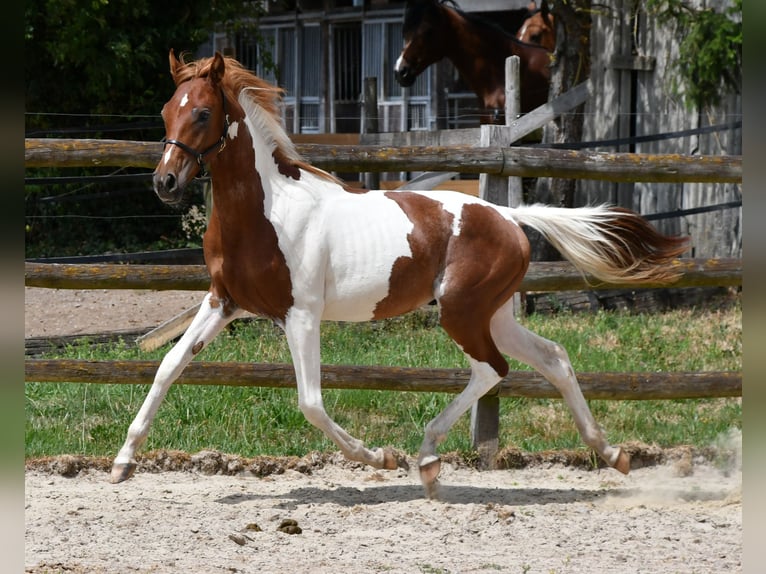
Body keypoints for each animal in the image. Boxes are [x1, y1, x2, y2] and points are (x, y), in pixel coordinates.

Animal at [111, 51, 689, 498]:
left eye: (203, 112)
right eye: (167, 110)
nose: (165, 182)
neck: (266, 212)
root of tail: (508, 216)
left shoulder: (302, 315)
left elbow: (310, 402)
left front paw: (379, 457)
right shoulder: (223, 302)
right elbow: (168, 367)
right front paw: (122, 462)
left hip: (461, 313)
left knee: (492, 370)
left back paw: (428, 458)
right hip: (493, 314)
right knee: (552, 358)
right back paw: (611, 453)